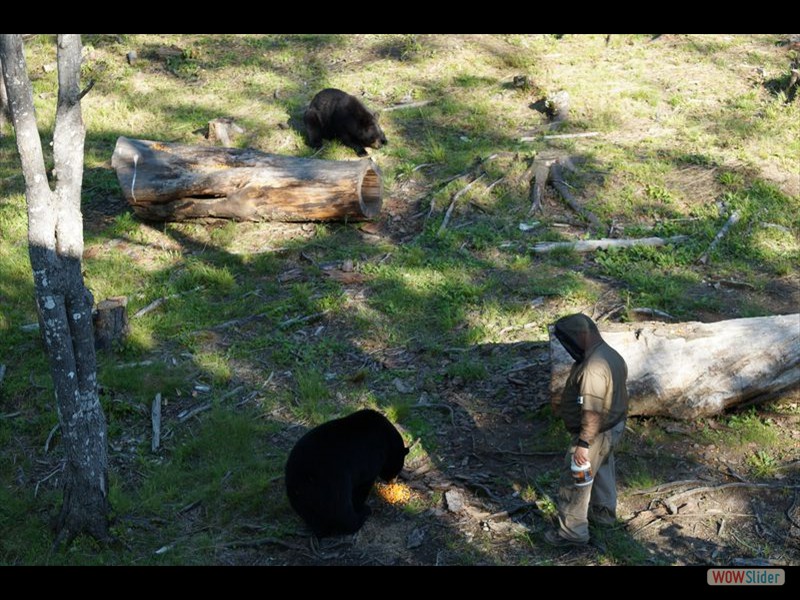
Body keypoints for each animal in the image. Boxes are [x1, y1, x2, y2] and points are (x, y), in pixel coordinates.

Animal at [284, 409, 408, 538]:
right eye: (397, 468)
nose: (392, 481)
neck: (387, 439)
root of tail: (305, 476)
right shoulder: (371, 459)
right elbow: (363, 486)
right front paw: (360, 506)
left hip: (298, 494)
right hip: (333, 483)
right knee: (341, 510)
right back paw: (362, 515)